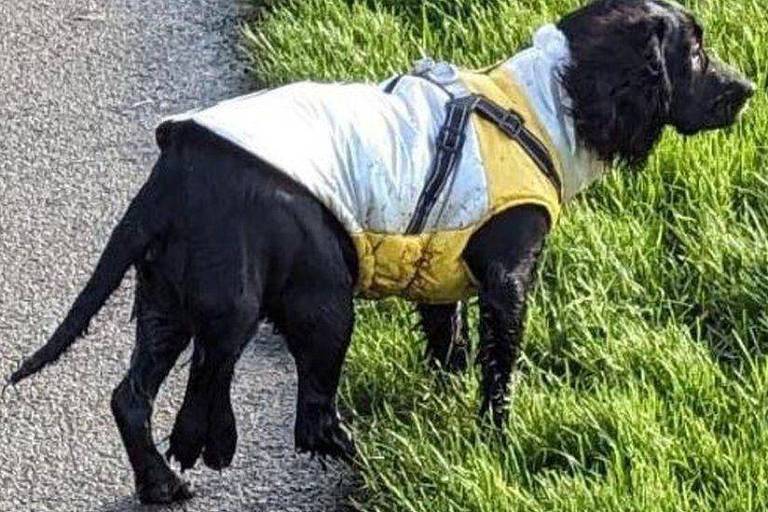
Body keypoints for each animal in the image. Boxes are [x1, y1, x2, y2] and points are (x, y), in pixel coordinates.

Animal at [9, 0, 752, 504]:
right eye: (694, 52)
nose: (747, 89)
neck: (546, 107)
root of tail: (173, 174)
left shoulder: (445, 280)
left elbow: (448, 349)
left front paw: (441, 408)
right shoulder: (508, 279)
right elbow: (498, 372)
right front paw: (494, 441)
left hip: (167, 300)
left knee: (131, 397)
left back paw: (163, 483)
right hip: (300, 298)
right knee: (279, 413)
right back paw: (358, 459)